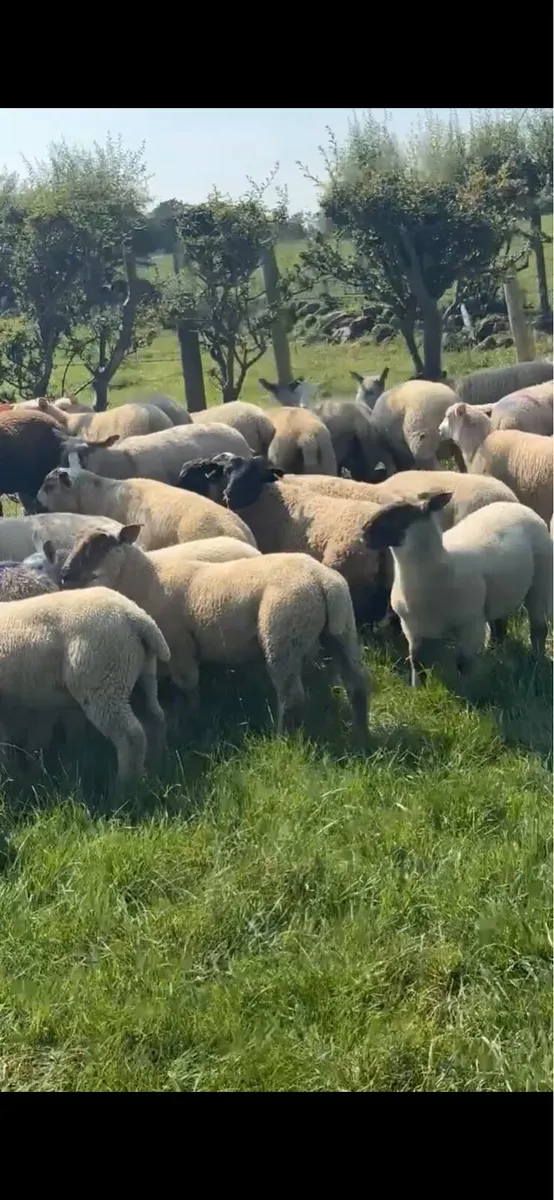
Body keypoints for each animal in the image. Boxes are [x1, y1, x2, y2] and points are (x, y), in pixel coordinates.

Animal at [0, 586, 169, 780]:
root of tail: (138, 617)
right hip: (142, 672)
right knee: (155, 717)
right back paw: (155, 766)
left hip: (102, 678)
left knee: (131, 735)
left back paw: (125, 782)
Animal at [58, 526, 370, 744]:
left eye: (99, 546)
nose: (64, 574)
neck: (147, 579)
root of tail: (321, 580)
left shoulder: (179, 646)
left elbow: (189, 685)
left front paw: (193, 718)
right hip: (343, 630)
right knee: (357, 683)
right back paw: (361, 732)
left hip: (282, 633)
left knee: (291, 694)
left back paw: (283, 736)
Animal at [363, 493, 553, 685]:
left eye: (402, 515)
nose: (364, 532)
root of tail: (517, 506)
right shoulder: (411, 628)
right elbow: (416, 661)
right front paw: (418, 687)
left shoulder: (470, 625)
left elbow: (463, 663)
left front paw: (467, 687)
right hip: (501, 592)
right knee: (499, 625)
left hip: (540, 582)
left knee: (538, 628)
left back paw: (536, 660)